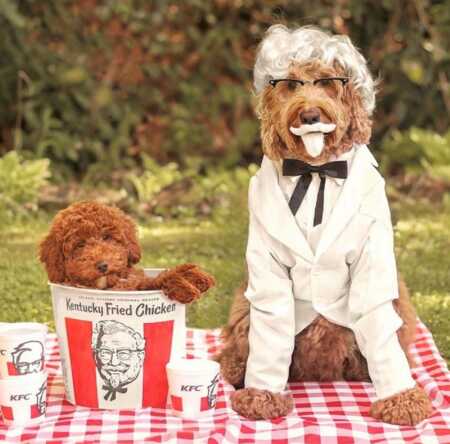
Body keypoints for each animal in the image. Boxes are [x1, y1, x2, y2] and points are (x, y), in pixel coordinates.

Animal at [39, 200, 215, 302]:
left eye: (107, 237)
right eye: (80, 245)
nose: (102, 265)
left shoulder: (138, 283)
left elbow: (154, 281)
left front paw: (189, 276)